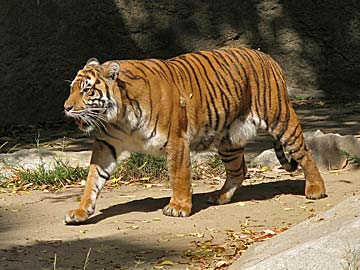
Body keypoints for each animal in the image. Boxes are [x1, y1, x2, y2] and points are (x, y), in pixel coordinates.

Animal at [64, 47, 326, 225]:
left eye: (86, 90)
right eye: (71, 89)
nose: (66, 107)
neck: (119, 117)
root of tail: (268, 57)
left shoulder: (176, 140)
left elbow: (178, 176)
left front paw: (178, 207)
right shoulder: (105, 145)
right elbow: (93, 179)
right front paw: (81, 211)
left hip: (279, 118)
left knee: (305, 152)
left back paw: (316, 189)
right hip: (229, 139)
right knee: (239, 170)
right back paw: (220, 196)